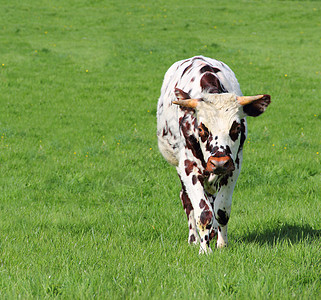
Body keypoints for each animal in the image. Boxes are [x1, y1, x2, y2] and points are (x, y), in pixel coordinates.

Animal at [156, 56, 268, 253]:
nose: (219, 162)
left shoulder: (234, 166)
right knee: (187, 200)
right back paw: (194, 239)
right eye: (202, 129)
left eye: (236, 127)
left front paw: (222, 244)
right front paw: (204, 250)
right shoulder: (188, 168)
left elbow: (221, 210)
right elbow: (203, 212)